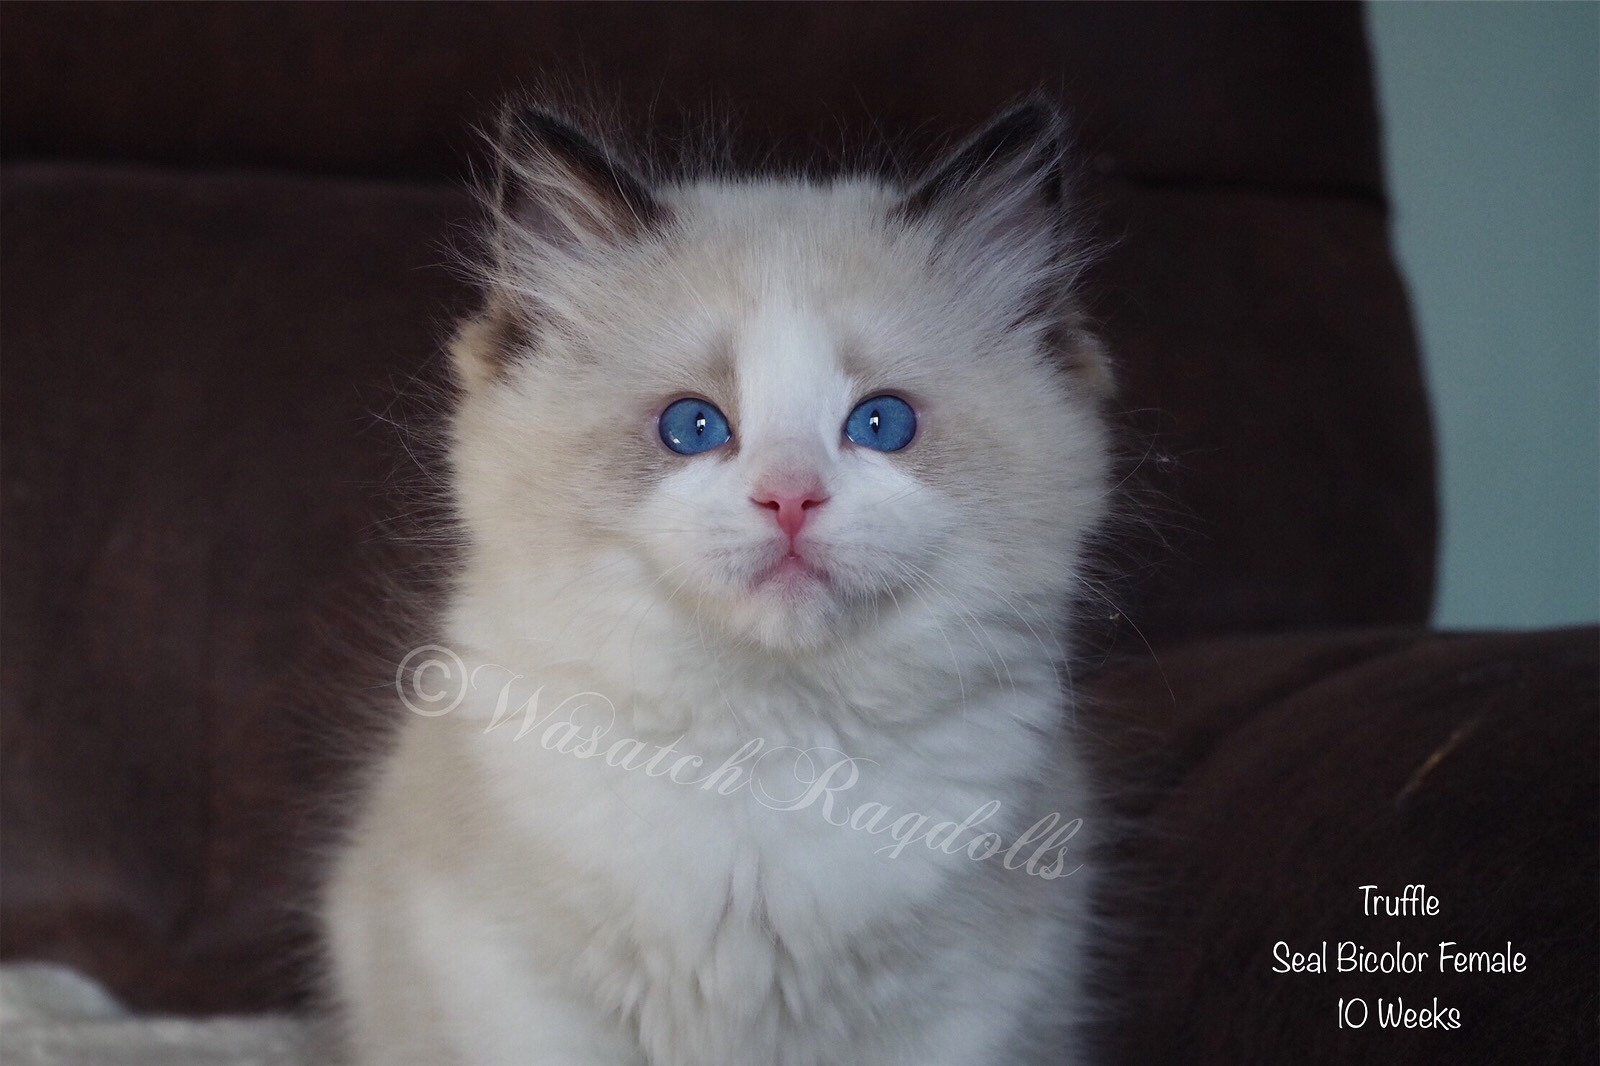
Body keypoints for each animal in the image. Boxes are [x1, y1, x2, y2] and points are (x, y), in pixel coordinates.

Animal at [321, 96, 1114, 1065]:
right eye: (693, 427)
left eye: (881, 424)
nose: (790, 498)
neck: (762, 757)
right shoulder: (520, 990)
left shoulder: (958, 1009)